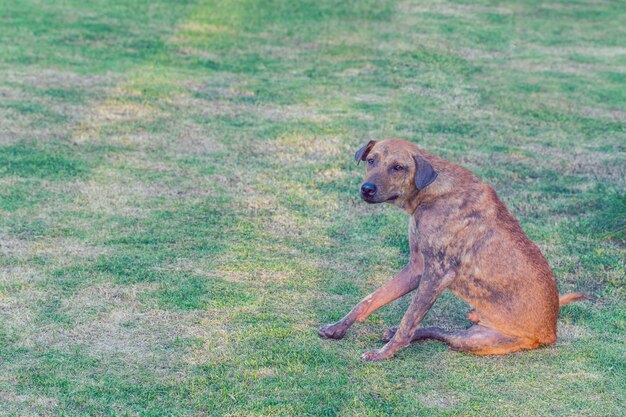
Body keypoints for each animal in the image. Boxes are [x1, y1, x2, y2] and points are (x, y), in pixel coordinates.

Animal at [316, 138, 584, 360]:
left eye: (398, 167)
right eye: (371, 160)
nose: (367, 189)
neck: (431, 191)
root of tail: (551, 332)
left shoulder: (437, 274)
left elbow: (408, 320)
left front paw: (384, 354)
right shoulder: (416, 268)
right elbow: (369, 300)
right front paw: (337, 328)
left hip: (476, 341)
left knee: (433, 332)